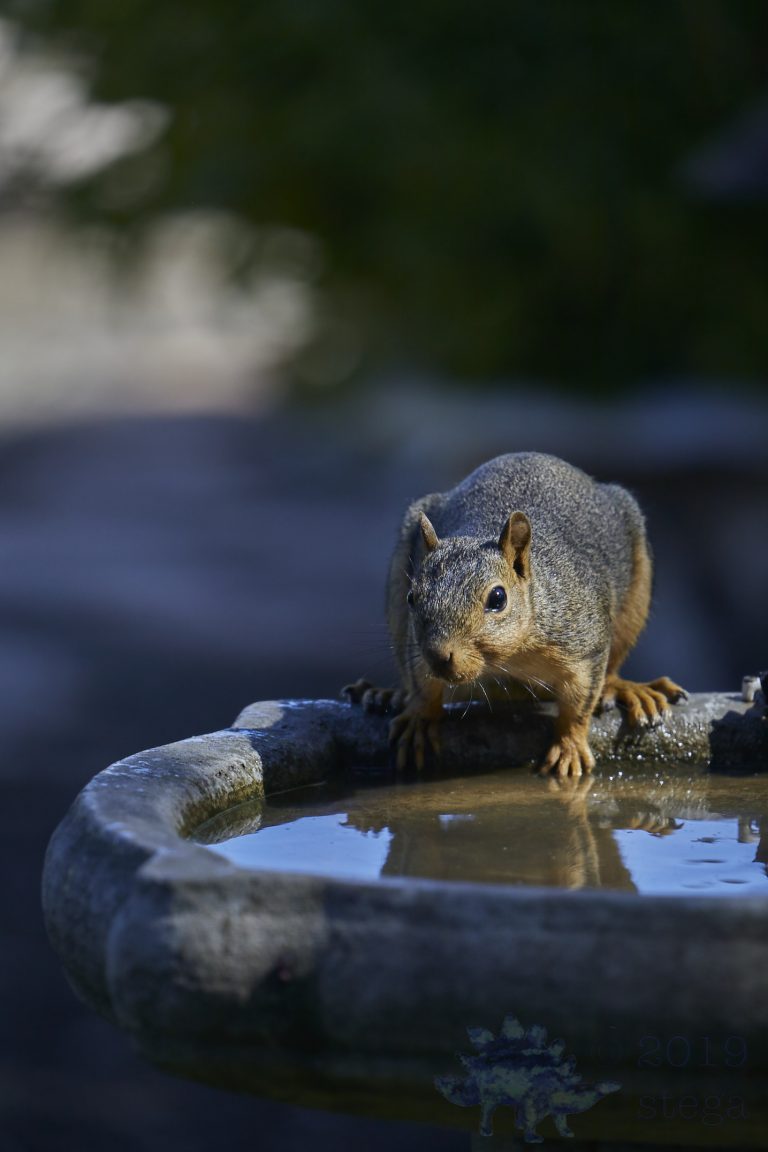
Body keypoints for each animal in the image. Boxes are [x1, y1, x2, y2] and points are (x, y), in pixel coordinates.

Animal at [345, 452, 686, 775]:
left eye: (497, 598)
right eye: (412, 597)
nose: (439, 657)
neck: (510, 656)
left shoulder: (585, 641)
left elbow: (579, 703)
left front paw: (569, 747)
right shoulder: (416, 648)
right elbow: (421, 682)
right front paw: (419, 717)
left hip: (636, 592)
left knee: (612, 667)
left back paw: (627, 689)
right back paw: (386, 696)